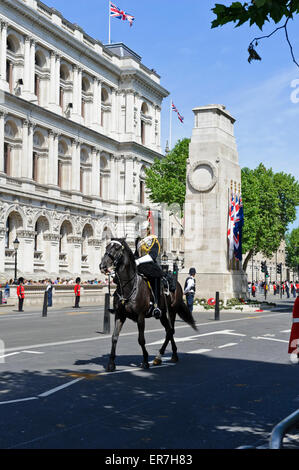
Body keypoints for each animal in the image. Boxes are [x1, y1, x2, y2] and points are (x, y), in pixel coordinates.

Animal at [101, 241, 198, 372]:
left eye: (116, 248)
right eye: (106, 247)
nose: (102, 265)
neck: (129, 287)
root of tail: (177, 283)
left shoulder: (140, 316)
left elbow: (141, 340)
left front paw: (145, 361)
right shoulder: (120, 315)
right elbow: (114, 337)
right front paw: (111, 363)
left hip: (172, 311)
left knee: (170, 331)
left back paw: (165, 356)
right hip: (162, 314)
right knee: (169, 330)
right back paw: (165, 356)